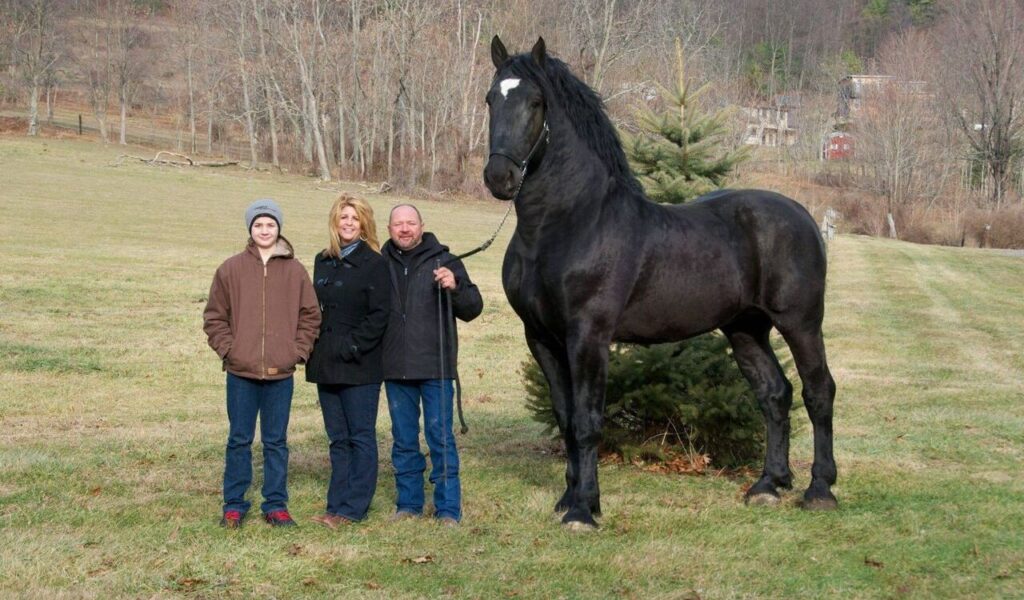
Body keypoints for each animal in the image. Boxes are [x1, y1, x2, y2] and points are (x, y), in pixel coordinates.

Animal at [483, 36, 838, 529]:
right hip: (746, 329)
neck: (569, 223)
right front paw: (570, 497)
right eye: (491, 99)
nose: (500, 177)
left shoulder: (588, 337)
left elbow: (588, 421)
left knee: (818, 391)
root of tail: (803, 215)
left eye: (535, 102)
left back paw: (820, 489)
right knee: (775, 395)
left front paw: (583, 510)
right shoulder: (541, 338)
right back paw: (768, 485)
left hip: (800, 323)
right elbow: (566, 418)